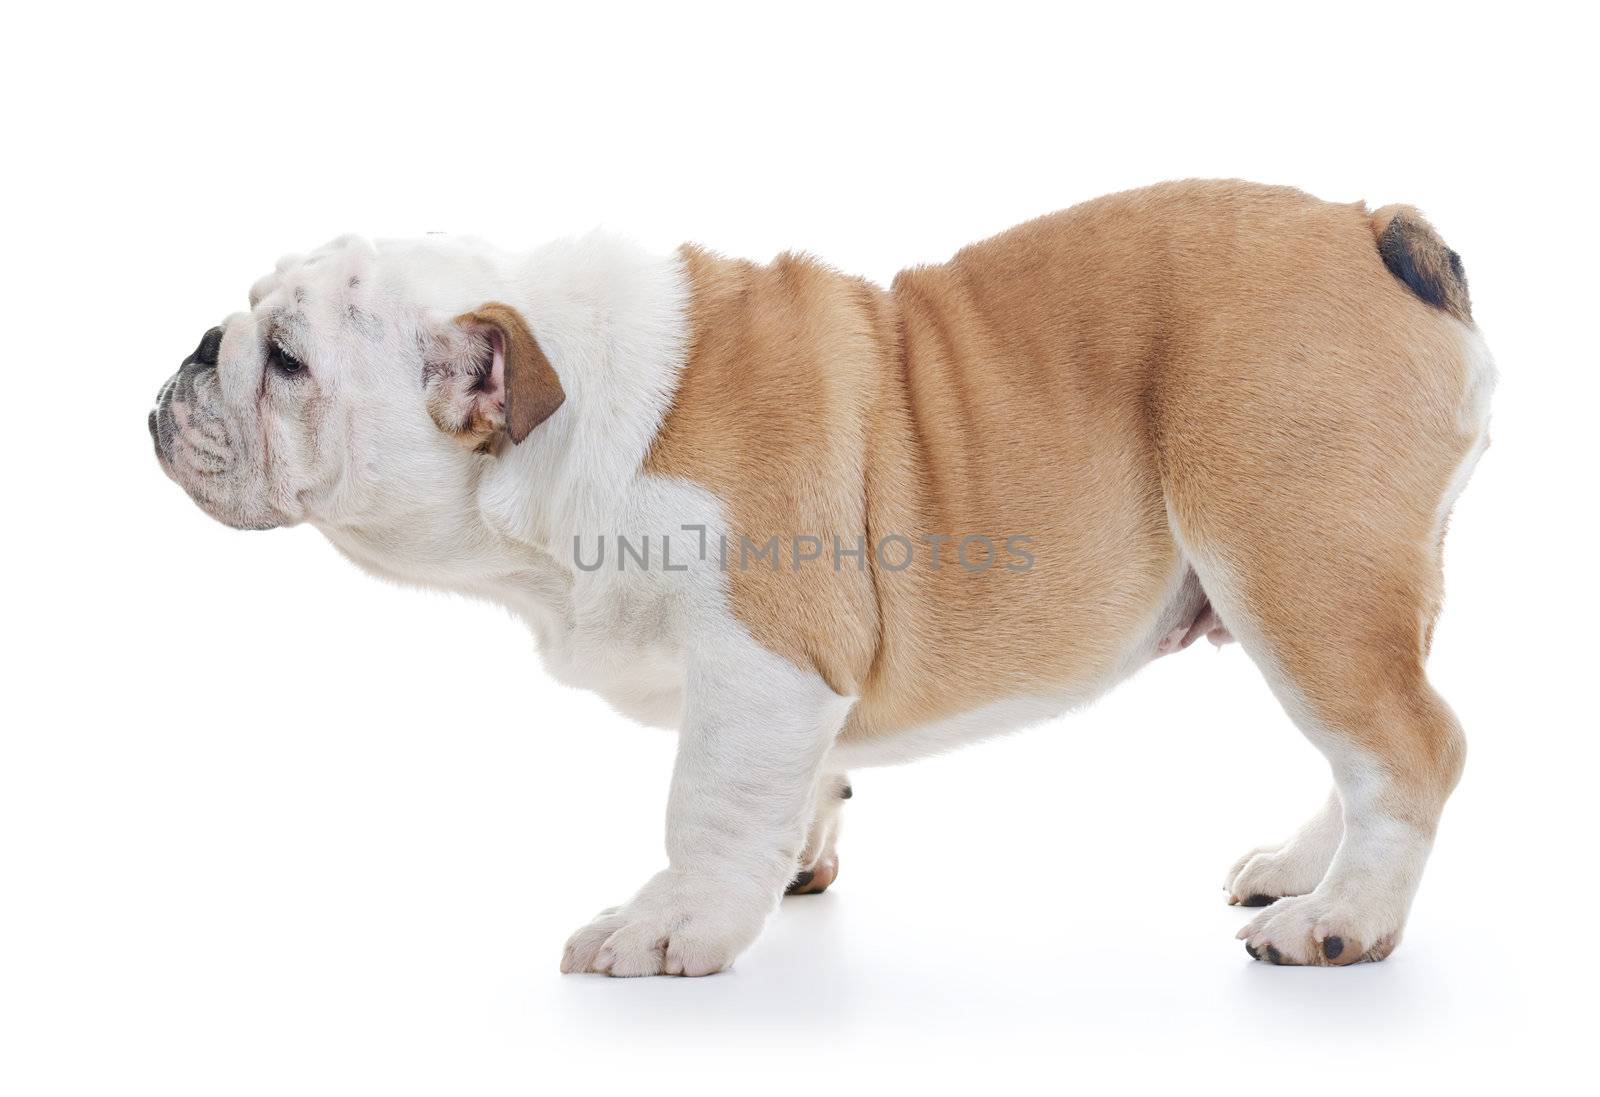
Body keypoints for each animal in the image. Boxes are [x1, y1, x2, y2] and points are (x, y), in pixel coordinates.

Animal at [150, 182, 1484, 978]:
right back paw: (1306, 867)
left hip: (1296, 565)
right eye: (249, 320)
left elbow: (703, 801)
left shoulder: (760, 662)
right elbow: (793, 785)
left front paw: (670, 923)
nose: (197, 349)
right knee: (1367, 742)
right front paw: (788, 857)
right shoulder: (784, 697)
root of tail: (1370, 227)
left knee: (1409, 743)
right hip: (1349, 590)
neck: (571, 419)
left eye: (287, 359)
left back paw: (1340, 918)